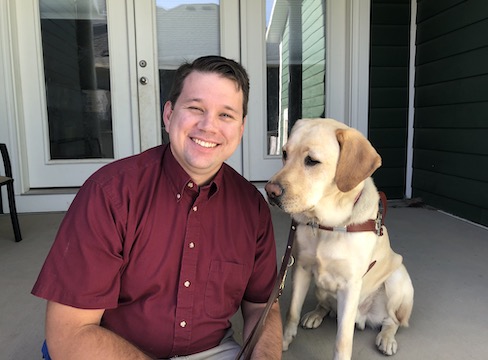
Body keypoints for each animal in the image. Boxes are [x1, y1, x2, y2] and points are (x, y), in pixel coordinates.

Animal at [264, 119, 414, 360]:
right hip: (320, 288)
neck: (326, 225)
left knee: (392, 320)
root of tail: (363, 318)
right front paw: (284, 341)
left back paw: (387, 338)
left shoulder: (350, 285)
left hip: (397, 280)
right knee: (327, 307)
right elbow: (292, 312)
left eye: (312, 161)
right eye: (285, 154)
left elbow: (343, 339)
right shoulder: (301, 269)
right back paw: (315, 314)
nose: (270, 191)